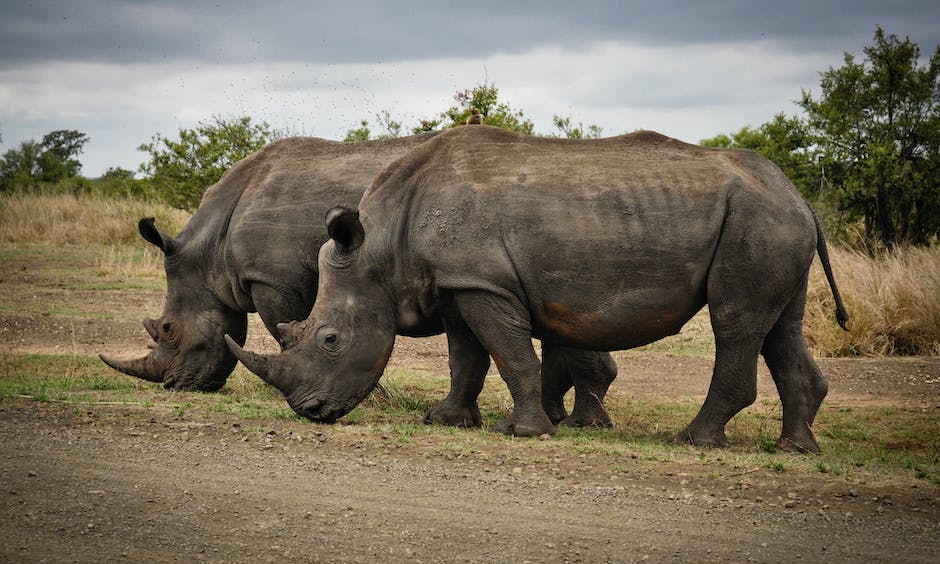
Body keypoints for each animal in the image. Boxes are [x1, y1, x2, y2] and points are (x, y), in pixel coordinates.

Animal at [101, 133, 616, 428]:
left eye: (168, 330)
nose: (173, 385)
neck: (210, 249)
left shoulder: (273, 280)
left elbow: (286, 330)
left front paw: (372, 398)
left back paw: (572, 420)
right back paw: (567, 417)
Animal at [229, 125, 852, 452]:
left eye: (330, 339)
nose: (309, 411)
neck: (381, 248)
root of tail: (799, 196)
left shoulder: (484, 284)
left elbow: (509, 355)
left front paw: (525, 432)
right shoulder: (459, 283)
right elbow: (466, 358)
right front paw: (446, 420)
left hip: (758, 222)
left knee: (735, 323)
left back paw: (693, 441)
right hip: (771, 222)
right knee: (779, 326)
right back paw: (796, 448)